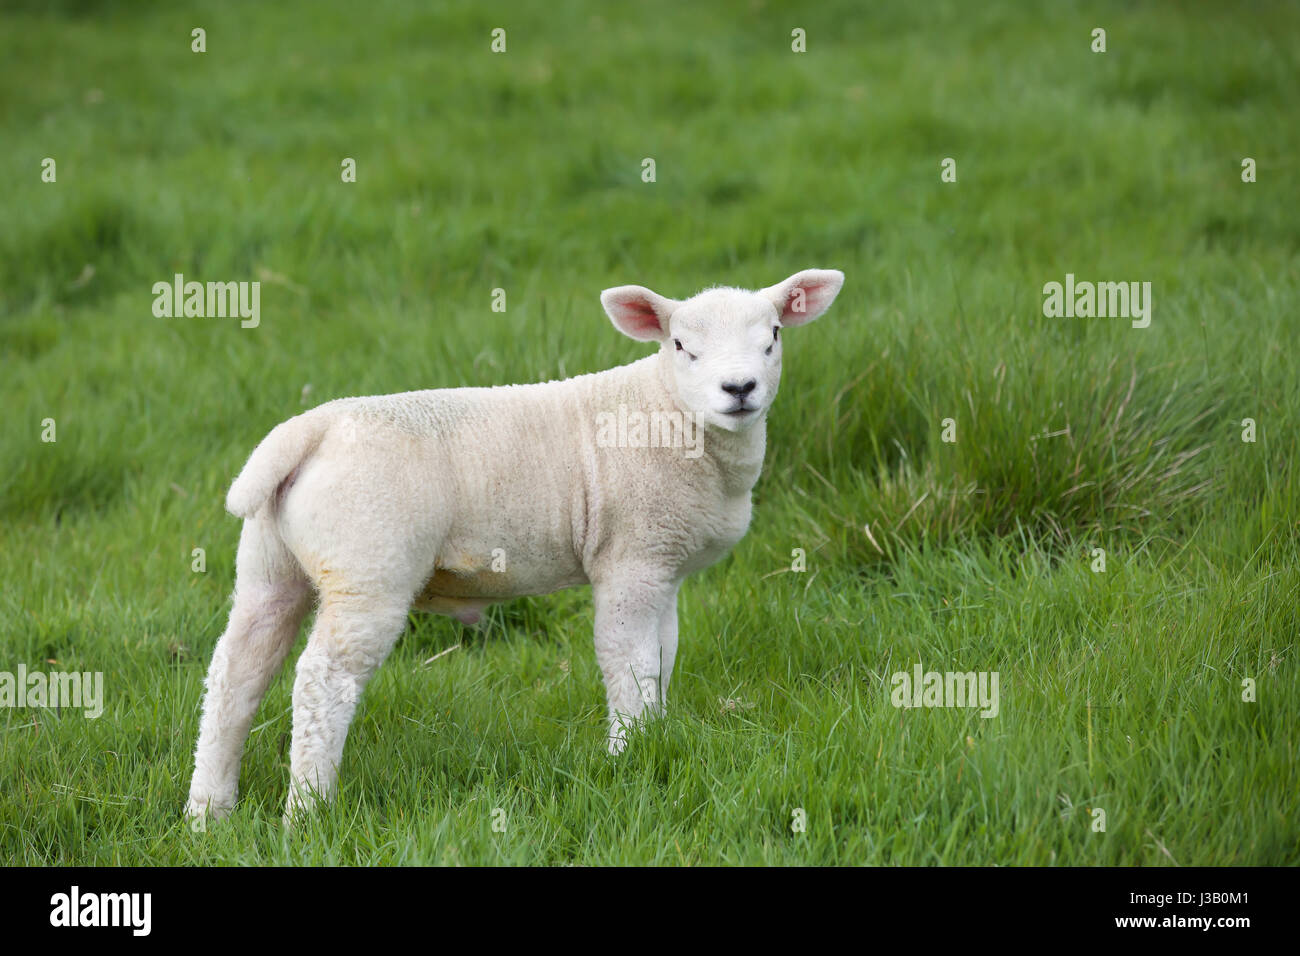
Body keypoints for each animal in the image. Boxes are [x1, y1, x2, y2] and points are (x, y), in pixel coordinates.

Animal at [188, 267, 847, 822]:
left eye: (774, 336)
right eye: (682, 346)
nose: (740, 388)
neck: (669, 414)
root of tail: (311, 430)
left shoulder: (664, 567)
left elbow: (663, 656)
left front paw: (657, 737)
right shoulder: (630, 559)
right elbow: (629, 660)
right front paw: (628, 754)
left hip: (270, 565)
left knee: (234, 675)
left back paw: (208, 813)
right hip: (368, 566)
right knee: (323, 680)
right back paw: (308, 811)